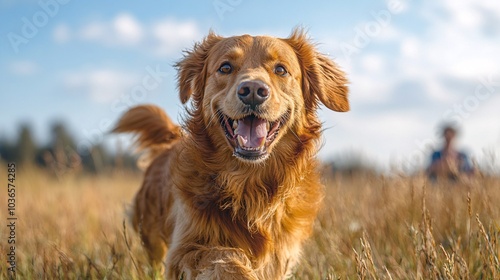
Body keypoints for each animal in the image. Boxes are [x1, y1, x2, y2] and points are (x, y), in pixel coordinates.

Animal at [113, 29, 348, 278]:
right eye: (225, 67)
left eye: (281, 70)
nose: (253, 91)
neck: (248, 182)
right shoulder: (184, 248)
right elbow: (224, 256)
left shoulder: (281, 253)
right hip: (151, 235)